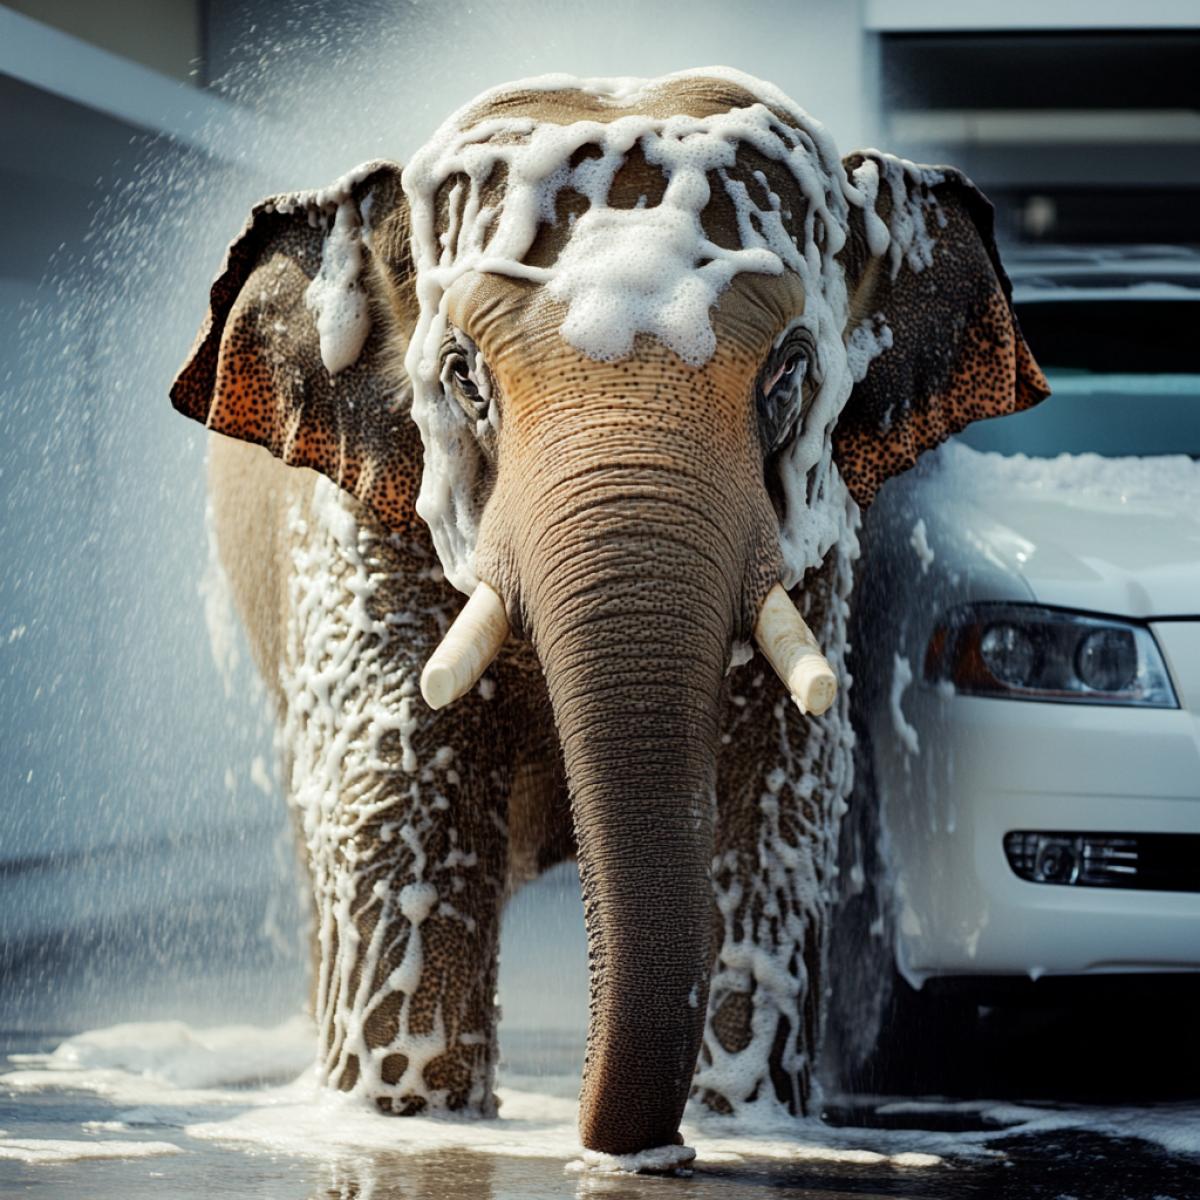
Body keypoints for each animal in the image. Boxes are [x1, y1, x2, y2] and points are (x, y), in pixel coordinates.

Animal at [171, 67, 1046, 1164]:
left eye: (789, 372)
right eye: (462, 378)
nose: (619, 1149)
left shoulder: (814, 540)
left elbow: (779, 787)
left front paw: (745, 1122)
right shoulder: (363, 523)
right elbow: (402, 786)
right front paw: (405, 1117)